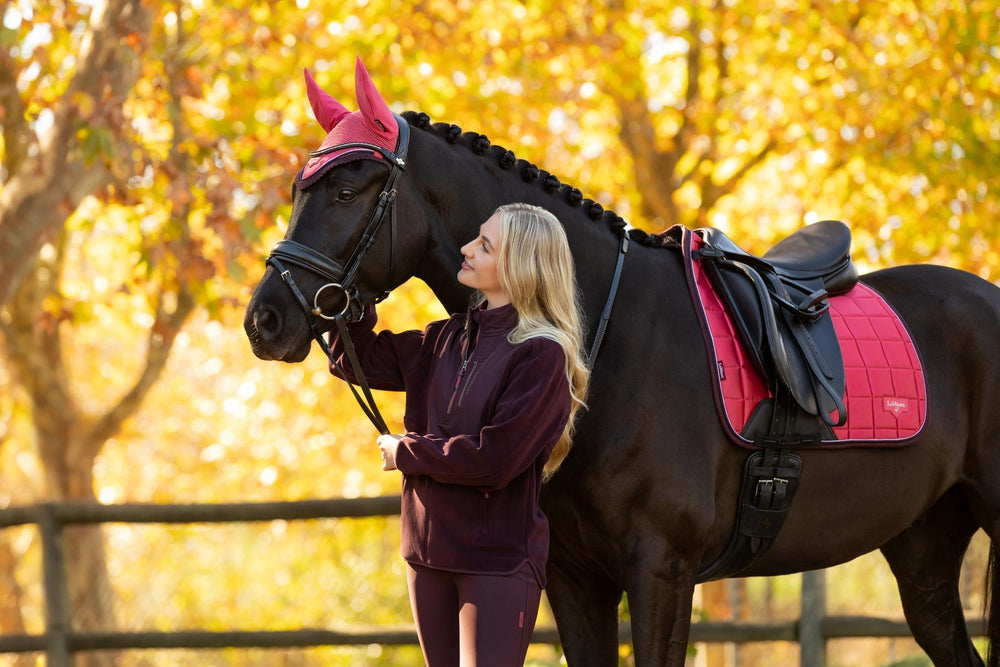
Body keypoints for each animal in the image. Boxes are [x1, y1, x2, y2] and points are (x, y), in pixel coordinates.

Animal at [244, 61, 999, 666]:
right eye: (300, 190)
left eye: (348, 190)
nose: (265, 320)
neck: (610, 342)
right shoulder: (574, 578)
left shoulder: (661, 570)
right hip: (924, 552)